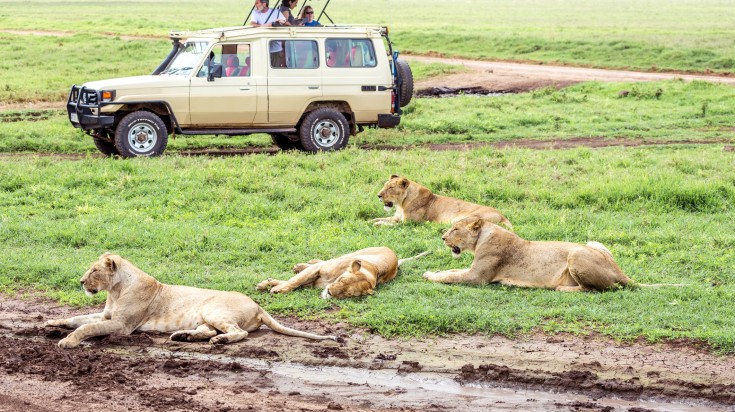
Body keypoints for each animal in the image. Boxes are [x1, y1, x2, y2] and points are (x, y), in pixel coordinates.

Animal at [43, 253, 336, 346]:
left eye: (94, 270)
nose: (81, 282)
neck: (115, 291)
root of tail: (258, 306)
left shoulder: (122, 326)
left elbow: (87, 327)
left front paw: (67, 341)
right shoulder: (106, 316)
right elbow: (77, 318)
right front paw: (50, 323)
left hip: (213, 309)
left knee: (237, 333)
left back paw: (219, 341)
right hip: (206, 316)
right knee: (208, 331)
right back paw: (183, 336)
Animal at [256, 246, 428, 298]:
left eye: (348, 294)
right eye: (341, 280)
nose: (330, 293)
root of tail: (397, 259)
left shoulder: (314, 283)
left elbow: (295, 282)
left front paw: (269, 284)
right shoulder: (318, 270)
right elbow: (294, 281)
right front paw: (276, 288)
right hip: (354, 253)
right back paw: (302, 265)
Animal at [374, 175, 512, 230]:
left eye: (390, 188)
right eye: (385, 185)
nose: (378, 196)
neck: (401, 204)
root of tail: (503, 216)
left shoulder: (409, 223)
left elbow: (389, 224)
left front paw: (378, 224)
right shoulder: (398, 218)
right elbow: (380, 219)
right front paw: (371, 221)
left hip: (464, 218)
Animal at [426, 216, 632, 292]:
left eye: (455, 229)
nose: (443, 238)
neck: (481, 238)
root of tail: (619, 271)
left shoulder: (477, 277)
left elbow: (452, 277)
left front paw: (429, 276)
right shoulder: (471, 270)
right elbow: (452, 270)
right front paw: (434, 271)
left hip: (575, 254)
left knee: (595, 289)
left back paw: (561, 288)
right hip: (593, 243)